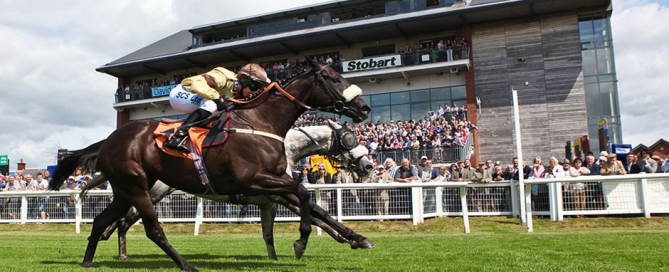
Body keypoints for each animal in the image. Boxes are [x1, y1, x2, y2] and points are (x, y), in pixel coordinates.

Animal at [48, 58, 370, 272]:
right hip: (138, 187)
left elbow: (314, 207)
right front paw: (302, 242)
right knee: (150, 229)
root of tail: (108, 140)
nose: (365, 108)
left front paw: (358, 238)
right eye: (334, 79)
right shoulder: (254, 181)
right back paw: (185, 265)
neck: (262, 123)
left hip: (126, 189)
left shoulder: (274, 186)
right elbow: (306, 198)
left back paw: (88, 260)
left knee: (103, 220)